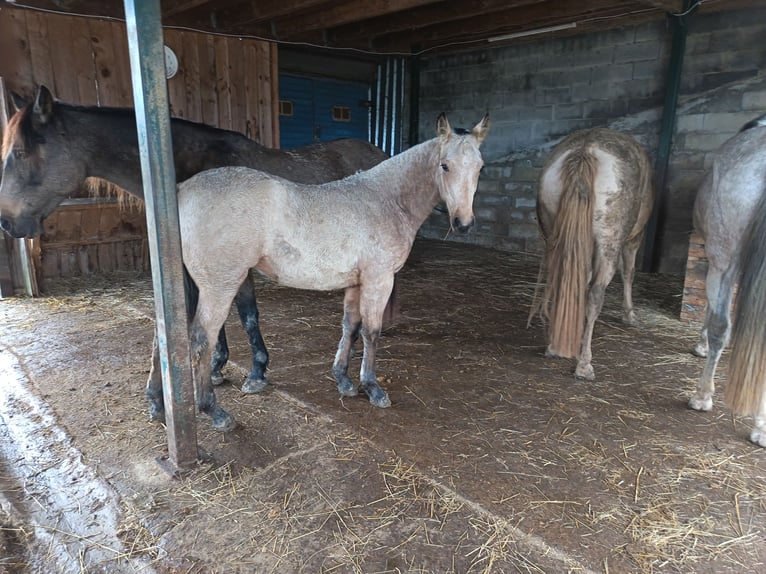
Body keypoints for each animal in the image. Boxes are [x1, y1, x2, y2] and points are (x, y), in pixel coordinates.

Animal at [0, 85, 388, 407]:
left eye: (19, 151)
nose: (7, 222)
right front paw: (216, 369)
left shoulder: (236, 267)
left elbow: (246, 315)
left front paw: (255, 373)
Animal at [173, 113, 489, 431]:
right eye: (444, 165)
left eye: (480, 167)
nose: (463, 224)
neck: (385, 200)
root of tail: (183, 191)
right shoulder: (379, 280)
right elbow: (371, 332)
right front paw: (372, 387)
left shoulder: (356, 283)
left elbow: (350, 326)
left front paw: (344, 380)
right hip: (221, 286)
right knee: (201, 338)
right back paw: (214, 410)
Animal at [529, 128, 654, 380]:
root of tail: (584, 151)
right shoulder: (633, 240)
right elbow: (629, 273)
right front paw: (629, 315)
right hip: (609, 245)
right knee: (595, 296)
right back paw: (584, 363)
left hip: (555, 239)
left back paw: (554, 344)